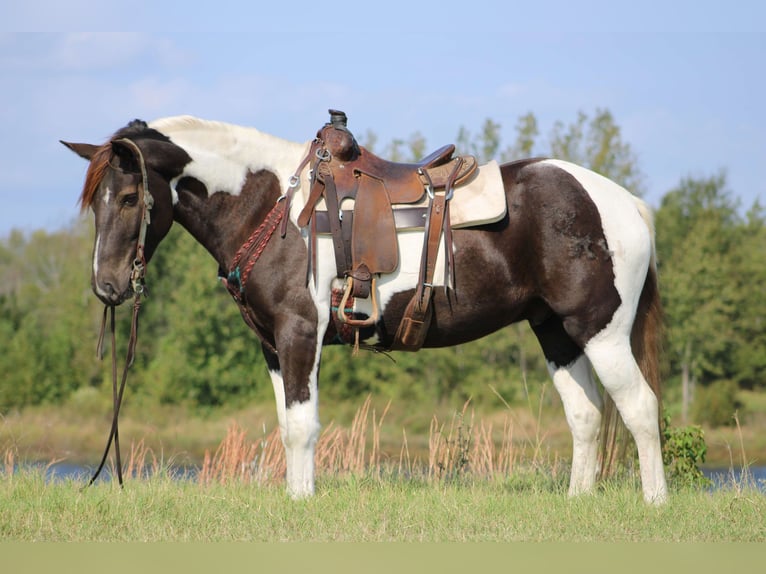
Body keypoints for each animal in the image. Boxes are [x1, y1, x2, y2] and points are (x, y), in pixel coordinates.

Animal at [63, 115, 668, 506]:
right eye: (95, 201)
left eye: (128, 198)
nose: (107, 286)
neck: (274, 210)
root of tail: (625, 203)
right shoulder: (272, 346)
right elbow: (287, 424)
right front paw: (297, 497)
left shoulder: (300, 334)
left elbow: (301, 427)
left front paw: (302, 505)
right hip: (557, 333)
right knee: (586, 415)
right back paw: (577, 501)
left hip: (601, 331)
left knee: (640, 407)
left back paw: (655, 502)